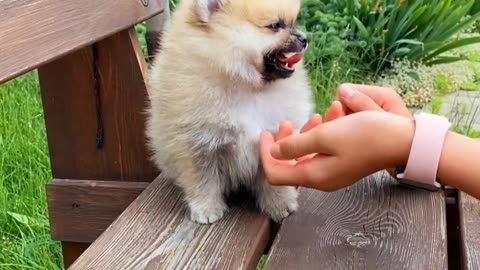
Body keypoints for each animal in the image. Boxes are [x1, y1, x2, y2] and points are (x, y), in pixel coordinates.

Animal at [146, 0, 316, 224]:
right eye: (274, 26)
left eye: (293, 22)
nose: (304, 39)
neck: (245, 85)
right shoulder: (198, 143)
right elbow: (203, 180)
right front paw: (206, 209)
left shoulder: (274, 136)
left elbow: (275, 177)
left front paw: (281, 204)